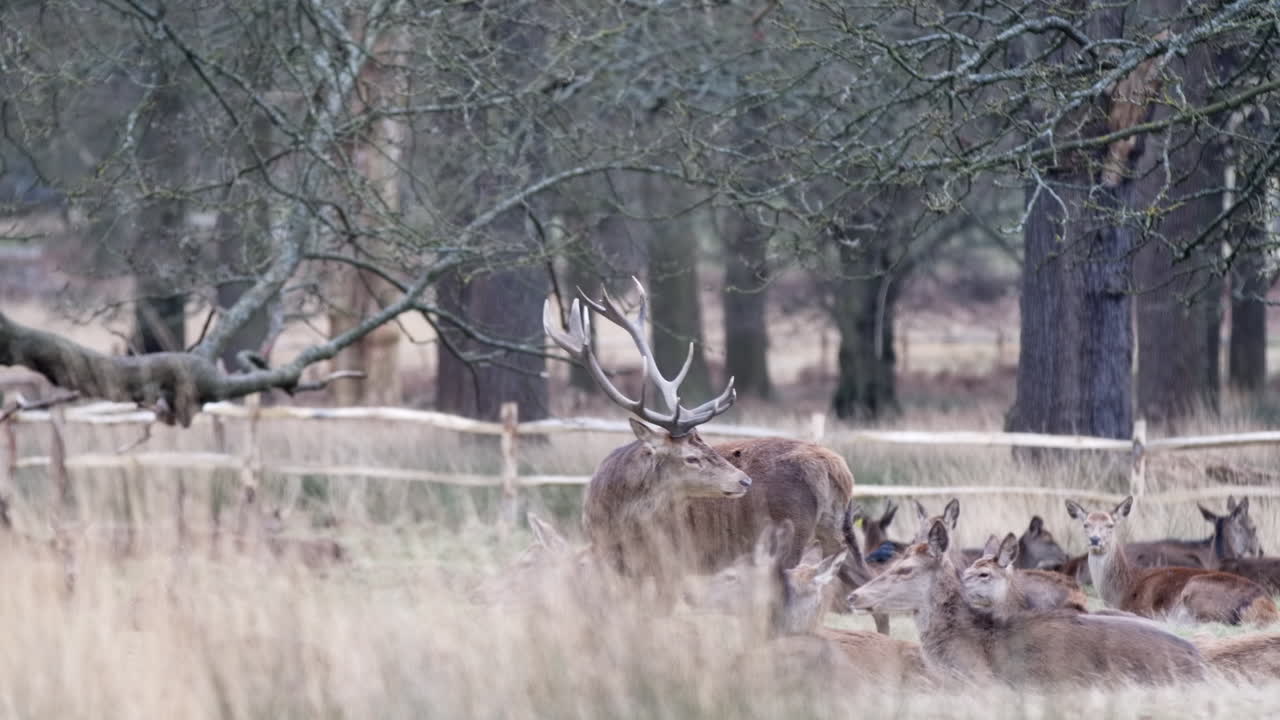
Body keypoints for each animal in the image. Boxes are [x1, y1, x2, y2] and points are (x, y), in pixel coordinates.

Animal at [544, 280, 854, 600]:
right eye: (691, 457)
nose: (744, 480)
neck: (609, 521)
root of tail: (834, 468)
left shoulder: (671, 564)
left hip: (788, 537)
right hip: (834, 528)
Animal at [1065, 497, 1278, 626]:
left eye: (1110, 525)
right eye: (1086, 525)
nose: (1095, 540)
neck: (1119, 590)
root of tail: (1266, 604)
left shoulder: (1139, 607)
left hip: (1197, 589)